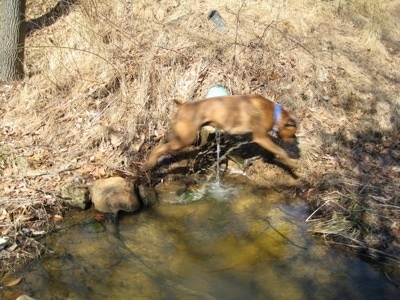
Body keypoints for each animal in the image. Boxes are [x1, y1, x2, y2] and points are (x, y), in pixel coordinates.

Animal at [143, 95, 296, 171]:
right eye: (293, 130)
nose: (294, 139)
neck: (275, 113)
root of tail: (183, 105)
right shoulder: (261, 138)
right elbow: (281, 151)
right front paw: (291, 163)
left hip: (179, 134)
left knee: (164, 141)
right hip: (184, 140)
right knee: (159, 148)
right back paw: (148, 164)